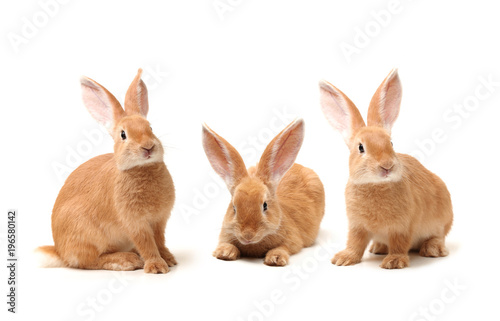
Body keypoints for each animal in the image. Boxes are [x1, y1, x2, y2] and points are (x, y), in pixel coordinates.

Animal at [36, 68, 176, 272]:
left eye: (150, 128)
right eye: (123, 135)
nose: (148, 147)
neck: (142, 169)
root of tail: (59, 251)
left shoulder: (159, 221)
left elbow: (159, 241)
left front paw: (169, 259)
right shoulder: (135, 223)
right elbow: (147, 244)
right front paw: (156, 267)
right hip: (85, 233)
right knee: (89, 260)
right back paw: (126, 260)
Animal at [201, 117, 326, 264]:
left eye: (265, 206)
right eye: (234, 207)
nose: (247, 235)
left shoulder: (293, 240)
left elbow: (284, 247)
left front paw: (275, 258)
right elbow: (227, 243)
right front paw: (224, 252)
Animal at [320, 69, 454, 268]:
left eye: (391, 143)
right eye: (361, 148)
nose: (387, 166)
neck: (375, 185)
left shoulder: (403, 226)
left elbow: (400, 243)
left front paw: (394, 262)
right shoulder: (357, 226)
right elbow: (355, 243)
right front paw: (343, 258)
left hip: (442, 219)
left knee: (438, 236)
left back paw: (432, 249)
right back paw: (378, 248)